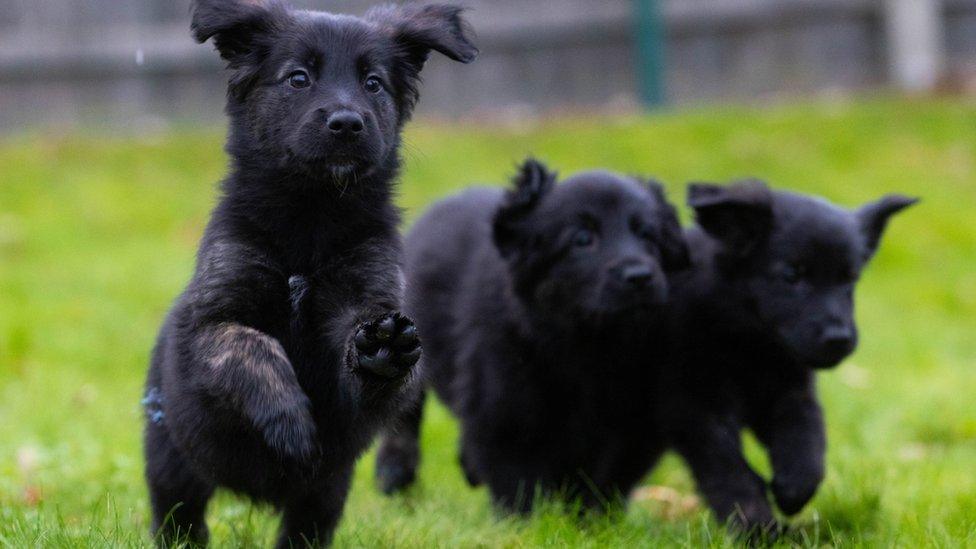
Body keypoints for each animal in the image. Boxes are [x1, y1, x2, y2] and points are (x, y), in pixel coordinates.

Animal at [144, 2, 476, 544]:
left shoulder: (365, 296)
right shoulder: (215, 319)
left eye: (373, 83)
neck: (312, 217)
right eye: (298, 78)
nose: (346, 123)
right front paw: (290, 423)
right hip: (173, 462)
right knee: (178, 515)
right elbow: (252, 348)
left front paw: (383, 350)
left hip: (326, 494)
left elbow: (367, 360)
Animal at [372, 161, 688, 512]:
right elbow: (518, 477)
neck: (589, 346)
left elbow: (606, 478)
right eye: (582, 239)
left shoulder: (634, 424)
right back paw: (394, 472)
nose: (640, 276)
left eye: (647, 235)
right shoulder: (504, 404)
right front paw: (530, 519)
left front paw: (588, 518)